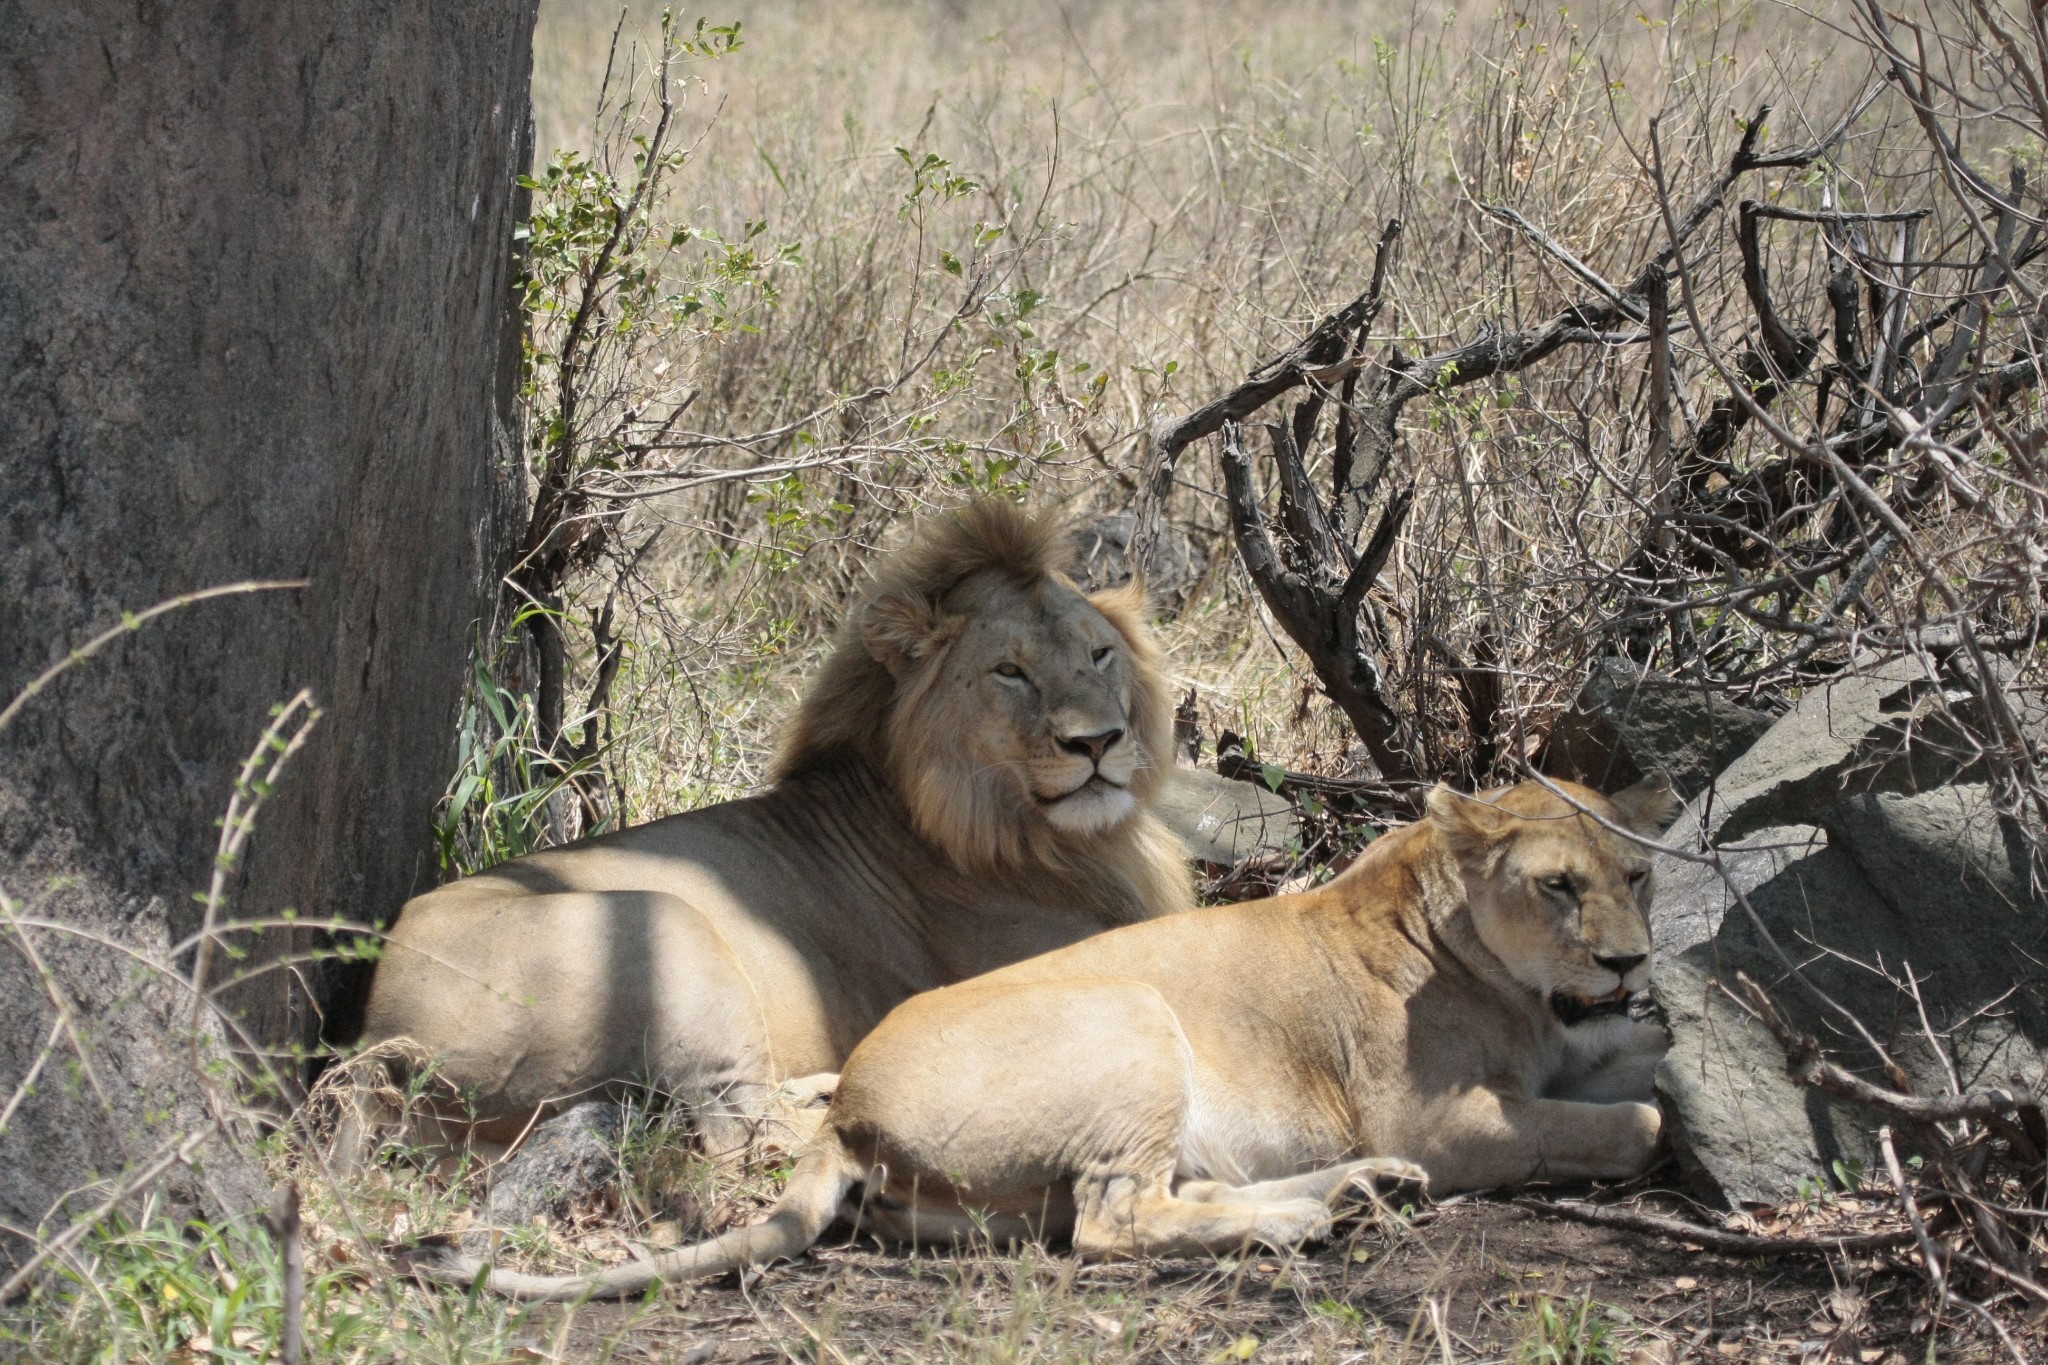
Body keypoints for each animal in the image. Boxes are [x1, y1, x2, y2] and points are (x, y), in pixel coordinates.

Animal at [348, 501, 1187, 1162]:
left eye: (1101, 654)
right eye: (1009, 671)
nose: (1098, 742)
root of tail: (383, 1034)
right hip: (664, 925)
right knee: (740, 1129)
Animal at [407, 773, 1671, 1301]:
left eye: (1635, 877)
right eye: (1557, 886)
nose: (1628, 960)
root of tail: (846, 1106)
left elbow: (1628, 1065)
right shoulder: (1444, 1118)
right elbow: (1621, 1119)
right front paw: (1646, 1118)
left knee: (1136, 1205)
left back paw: (1355, 1192)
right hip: (1129, 1013)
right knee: (1114, 1225)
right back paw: (1316, 1213)